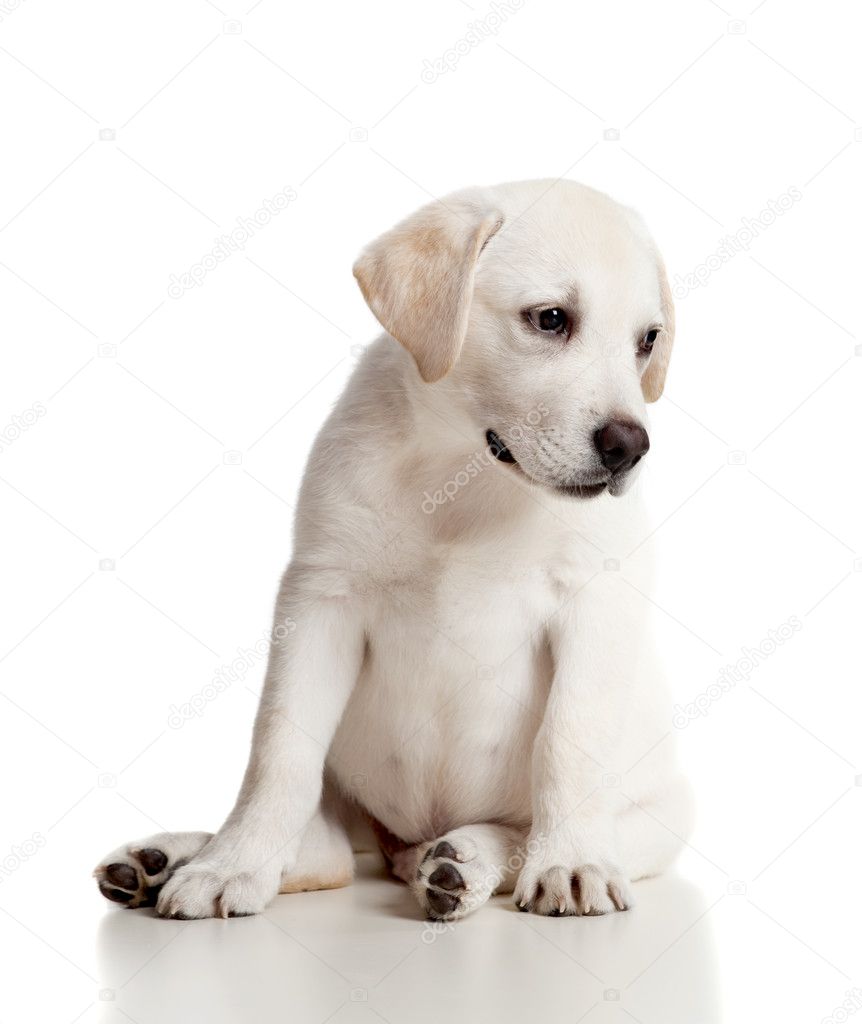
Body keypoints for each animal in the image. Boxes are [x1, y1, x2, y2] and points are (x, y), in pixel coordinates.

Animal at [95, 180, 692, 925]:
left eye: (648, 340)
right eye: (551, 319)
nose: (629, 448)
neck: (465, 474)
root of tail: (400, 844)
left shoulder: (597, 602)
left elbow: (567, 741)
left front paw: (573, 860)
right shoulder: (320, 600)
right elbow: (278, 751)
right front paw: (230, 865)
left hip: (659, 821)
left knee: (514, 833)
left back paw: (463, 862)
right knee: (326, 850)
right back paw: (171, 859)